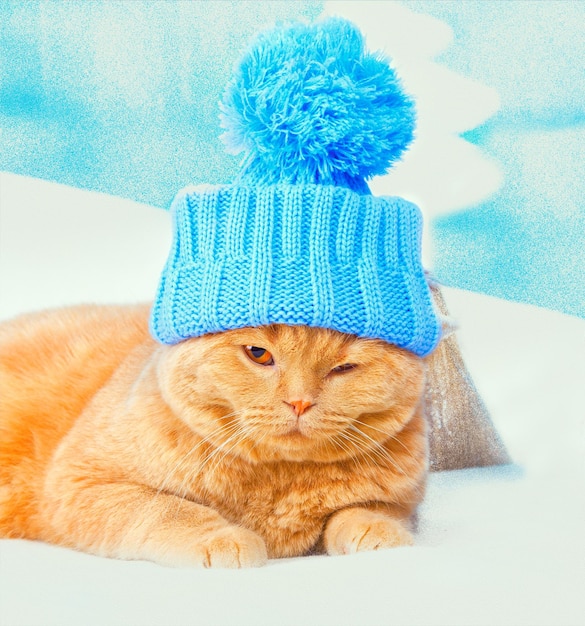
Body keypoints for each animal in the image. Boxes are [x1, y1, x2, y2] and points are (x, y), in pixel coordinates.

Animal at [0, 302, 424, 564]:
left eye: (344, 368)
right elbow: (170, 508)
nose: (300, 402)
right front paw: (222, 538)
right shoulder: (79, 483)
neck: (278, 479)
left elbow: (369, 510)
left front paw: (379, 534)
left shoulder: (402, 497)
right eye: (258, 354)